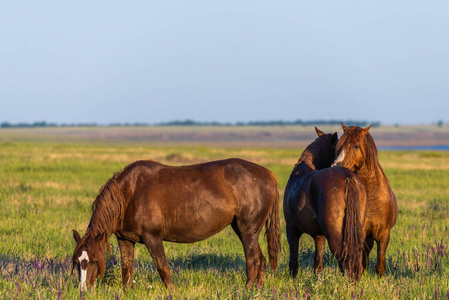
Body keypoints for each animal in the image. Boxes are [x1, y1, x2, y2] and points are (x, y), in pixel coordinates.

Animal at [71, 158, 278, 290]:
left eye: (94, 261)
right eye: (76, 262)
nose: (83, 290)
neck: (128, 194)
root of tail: (268, 174)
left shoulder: (153, 238)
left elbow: (163, 269)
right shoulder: (125, 240)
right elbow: (126, 271)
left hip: (248, 230)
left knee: (253, 261)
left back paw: (247, 290)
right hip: (244, 230)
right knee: (261, 260)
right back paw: (258, 290)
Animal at [286, 128, 366, 282]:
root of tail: (347, 177)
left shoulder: (291, 229)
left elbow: (294, 261)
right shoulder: (319, 235)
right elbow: (318, 264)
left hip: (334, 235)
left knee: (345, 262)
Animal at [330, 122, 398, 276]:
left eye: (356, 146)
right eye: (339, 145)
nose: (336, 165)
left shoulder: (384, 234)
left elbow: (380, 265)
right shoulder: (360, 232)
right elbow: (360, 260)